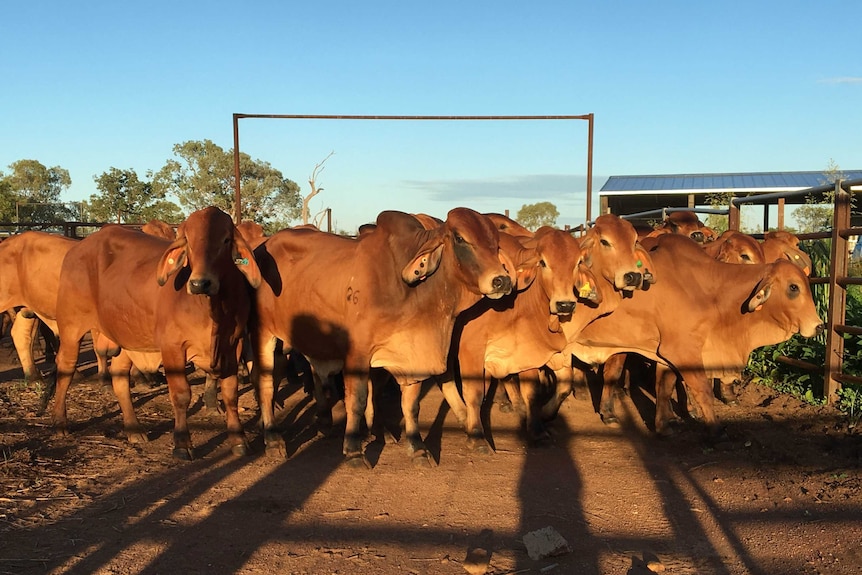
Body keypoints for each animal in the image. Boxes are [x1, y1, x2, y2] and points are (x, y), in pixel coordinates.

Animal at [49, 207, 260, 460]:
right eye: (187, 241)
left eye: (226, 240)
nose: (200, 283)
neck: (211, 310)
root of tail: (78, 247)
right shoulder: (173, 347)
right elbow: (181, 395)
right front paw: (182, 444)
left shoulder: (233, 344)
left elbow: (230, 394)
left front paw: (239, 440)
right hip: (71, 328)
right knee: (65, 368)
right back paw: (60, 423)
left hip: (126, 335)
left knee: (119, 377)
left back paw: (133, 429)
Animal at [253, 207, 516, 468]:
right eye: (460, 238)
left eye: (495, 242)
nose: (501, 280)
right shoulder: (357, 354)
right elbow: (357, 400)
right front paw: (354, 451)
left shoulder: (411, 352)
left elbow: (410, 405)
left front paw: (418, 448)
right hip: (265, 334)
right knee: (266, 383)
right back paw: (273, 439)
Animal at [572, 234, 828, 436]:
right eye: (793, 287)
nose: (818, 326)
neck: (708, 290)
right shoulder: (683, 351)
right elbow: (703, 390)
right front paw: (715, 428)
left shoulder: (666, 353)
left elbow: (665, 386)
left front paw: (665, 425)